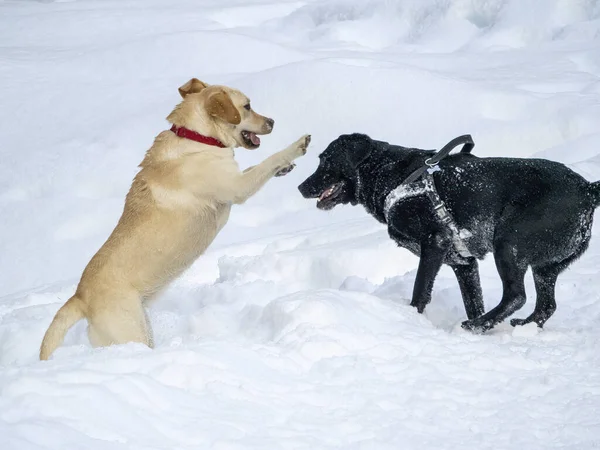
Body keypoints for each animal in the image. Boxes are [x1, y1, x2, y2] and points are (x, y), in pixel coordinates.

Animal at [298, 133, 600, 330]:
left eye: (325, 160)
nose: (301, 187)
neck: (391, 176)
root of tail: (587, 189)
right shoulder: (463, 263)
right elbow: (473, 299)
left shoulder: (435, 242)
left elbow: (421, 289)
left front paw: (411, 319)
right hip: (545, 267)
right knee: (546, 305)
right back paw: (515, 325)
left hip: (509, 243)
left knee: (517, 295)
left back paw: (479, 325)